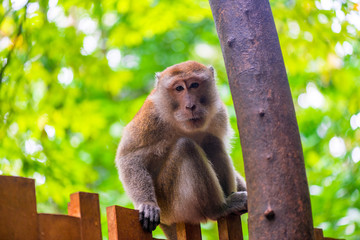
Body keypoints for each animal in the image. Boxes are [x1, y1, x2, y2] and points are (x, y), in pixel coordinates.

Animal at [116, 61, 248, 239]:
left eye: (194, 85)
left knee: (213, 142)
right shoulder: (151, 117)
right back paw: (220, 208)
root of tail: (166, 222)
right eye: (179, 88)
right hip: (170, 203)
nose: (190, 106)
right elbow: (129, 157)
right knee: (186, 146)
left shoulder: (219, 113)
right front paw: (147, 204)